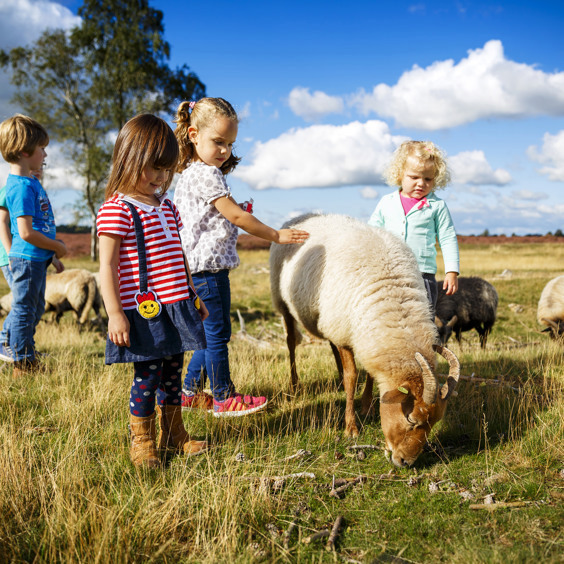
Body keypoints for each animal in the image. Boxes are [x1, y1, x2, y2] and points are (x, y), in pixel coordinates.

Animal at [270, 214, 460, 470]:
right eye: (411, 419)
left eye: (434, 423)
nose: (405, 462)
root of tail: (298, 217)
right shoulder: (345, 330)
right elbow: (353, 376)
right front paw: (351, 427)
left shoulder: (365, 335)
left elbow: (369, 373)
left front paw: (367, 406)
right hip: (285, 304)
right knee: (291, 342)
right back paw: (294, 384)